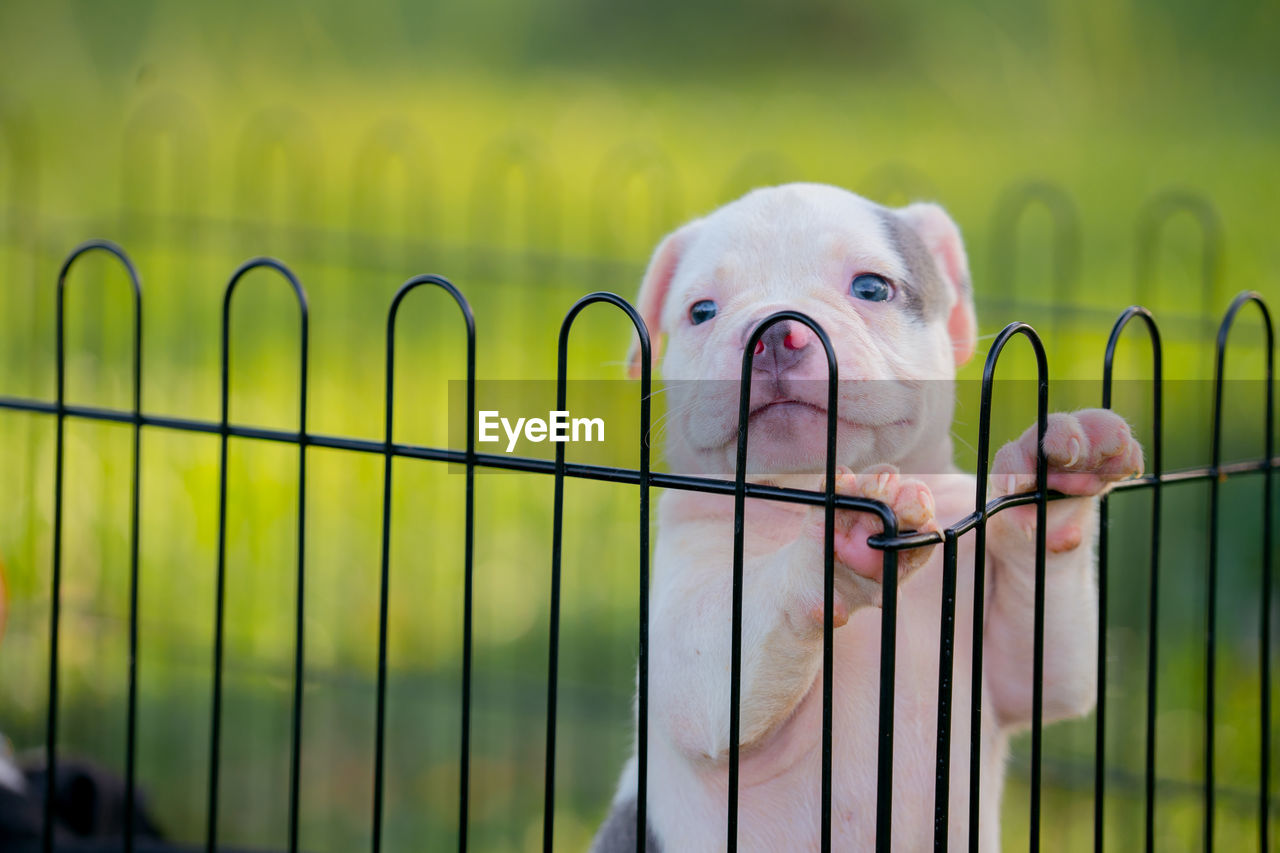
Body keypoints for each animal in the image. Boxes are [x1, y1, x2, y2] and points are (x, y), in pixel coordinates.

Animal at [588, 183, 1141, 845]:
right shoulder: (689, 653)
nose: (776, 335)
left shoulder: (1018, 671)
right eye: (701, 312)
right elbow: (720, 655)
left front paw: (1060, 469)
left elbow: (1047, 668)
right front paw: (840, 543)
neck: (794, 495)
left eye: (872, 288)